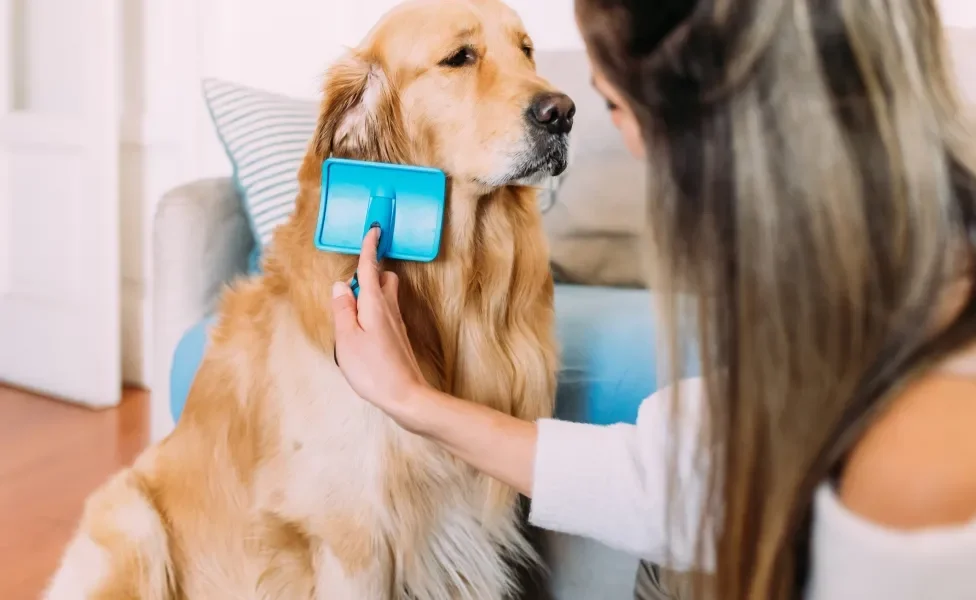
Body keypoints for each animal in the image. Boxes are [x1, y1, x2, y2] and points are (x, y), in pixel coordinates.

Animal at [45, 1, 576, 600]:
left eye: (527, 51)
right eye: (460, 57)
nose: (563, 113)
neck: (453, 291)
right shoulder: (352, 538)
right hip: (135, 525)